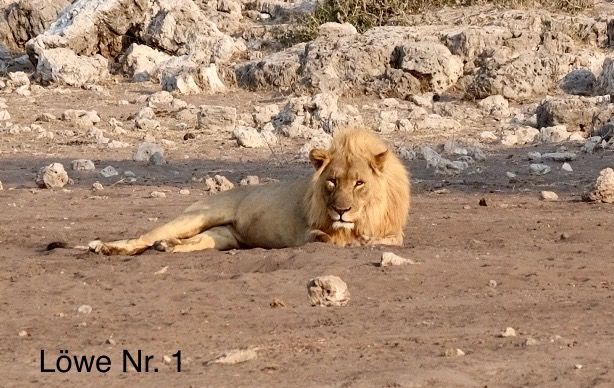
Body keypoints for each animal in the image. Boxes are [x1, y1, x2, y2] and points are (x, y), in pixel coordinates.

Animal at [86, 126, 412, 255]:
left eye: (359, 183)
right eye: (332, 181)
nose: (341, 211)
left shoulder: (392, 230)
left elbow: (391, 239)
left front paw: (367, 239)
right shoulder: (309, 233)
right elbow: (330, 238)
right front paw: (351, 238)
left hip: (221, 237)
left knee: (190, 242)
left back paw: (166, 247)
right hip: (195, 217)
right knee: (143, 237)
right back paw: (106, 247)